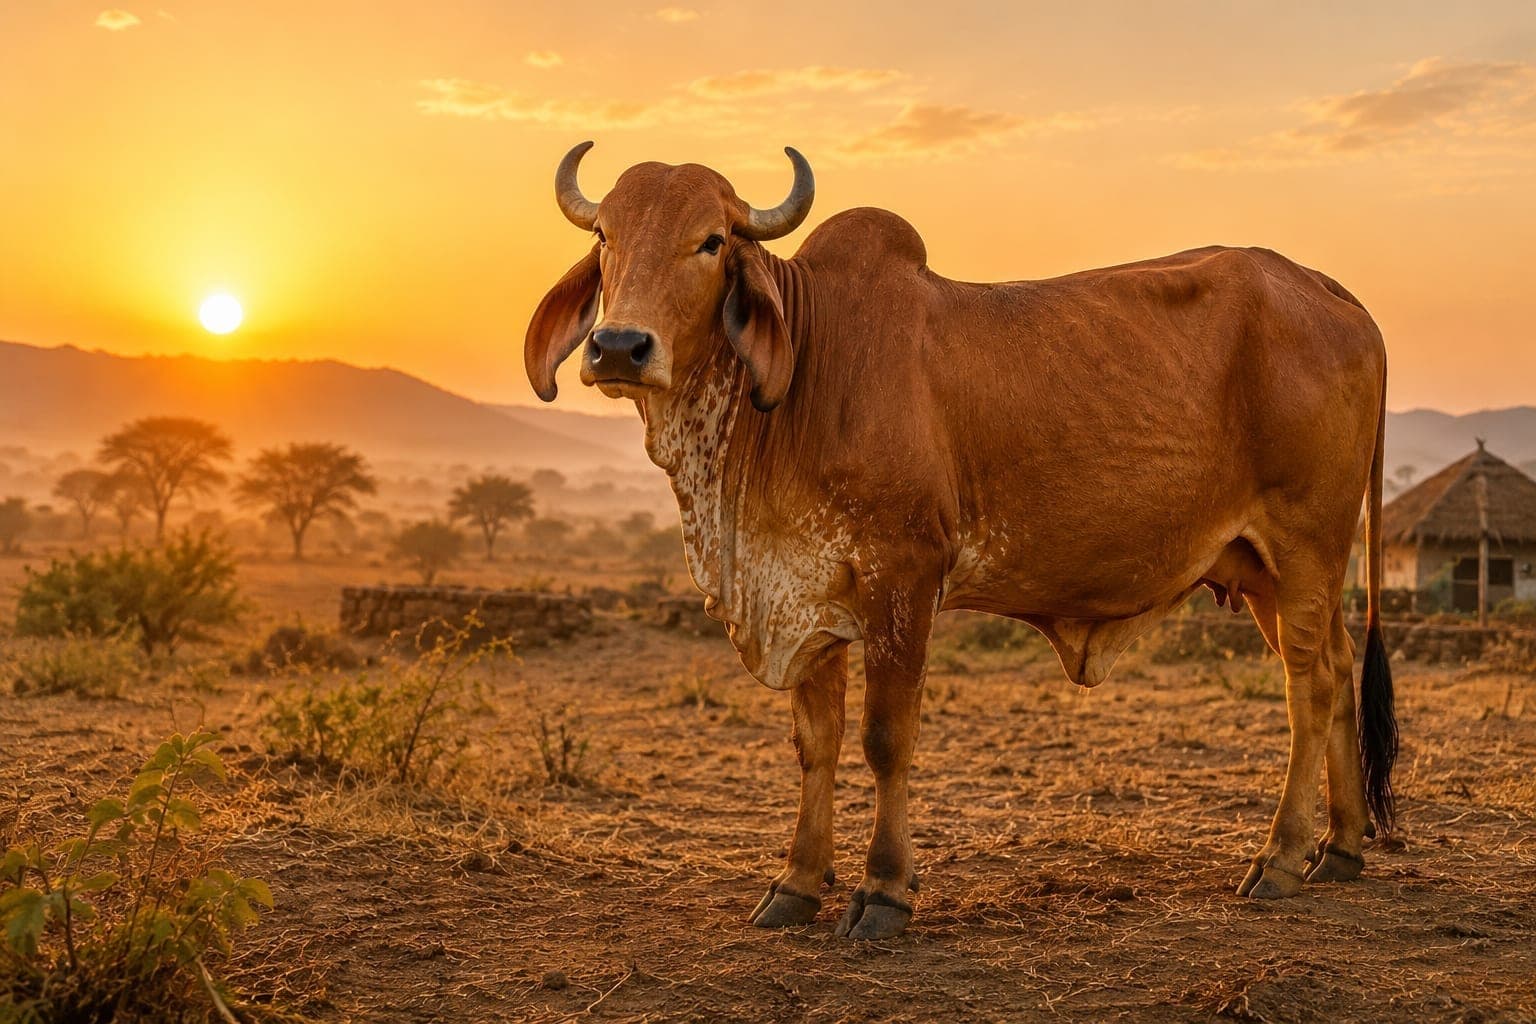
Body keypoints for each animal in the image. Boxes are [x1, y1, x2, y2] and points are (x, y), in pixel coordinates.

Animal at [524, 142, 1398, 939]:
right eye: (604, 235)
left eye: (710, 241)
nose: (619, 347)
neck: (804, 377)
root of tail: (1333, 294)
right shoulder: (808, 592)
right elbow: (815, 745)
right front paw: (796, 885)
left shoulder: (905, 581)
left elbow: (884, 741)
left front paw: (882, 892)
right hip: (1268, 571)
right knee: (1337, 668)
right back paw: (1341, 848)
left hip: (1307, 544)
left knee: (1312, 688)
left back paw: (1280, 858)